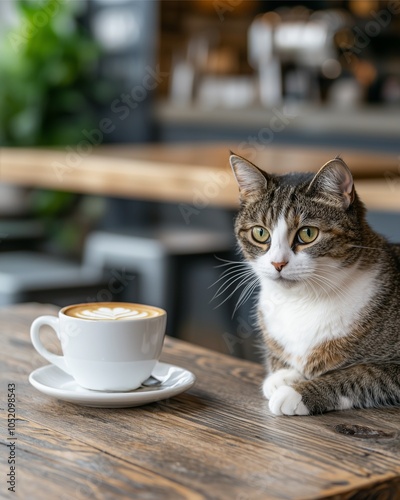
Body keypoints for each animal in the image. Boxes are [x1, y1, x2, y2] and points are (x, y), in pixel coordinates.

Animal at [228, 154, 400, 416]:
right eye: (260, 233)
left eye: (308, 233)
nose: (278, 263)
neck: (303, 300)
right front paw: (283, 376)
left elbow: (361, 374)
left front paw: (296, 393)